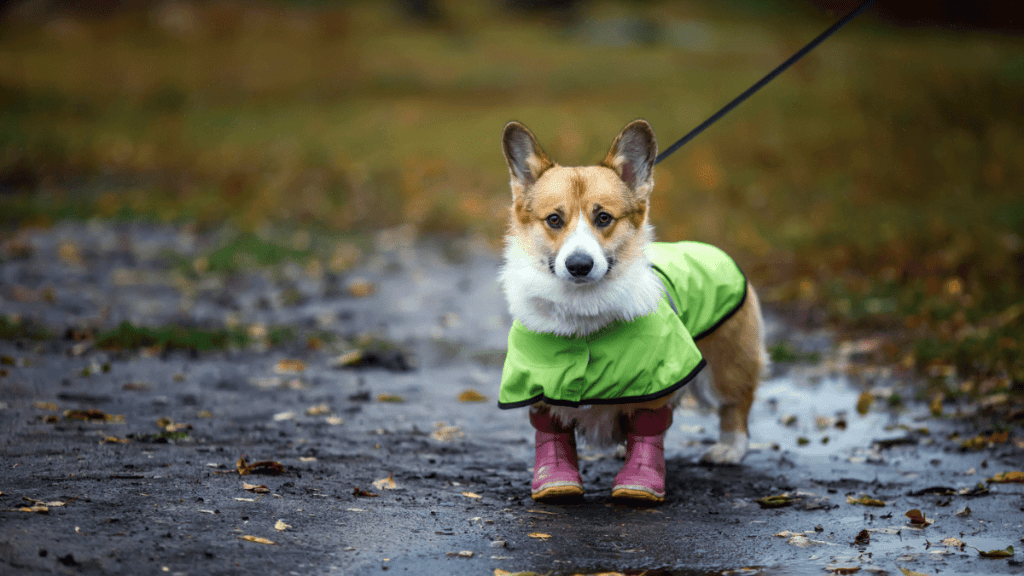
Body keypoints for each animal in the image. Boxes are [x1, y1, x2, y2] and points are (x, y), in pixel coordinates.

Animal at [495, 118, 770, 500]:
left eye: (603, 217)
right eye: (553, 220)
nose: (579, 265)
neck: (583, 312)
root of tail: (710, 247)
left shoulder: (658, 378)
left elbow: (648, 428)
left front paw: (640, 480)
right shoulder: (539, 386)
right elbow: (552, 433)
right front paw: (555, 480)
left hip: (724, 364)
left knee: (737, 402)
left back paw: (730, 448)